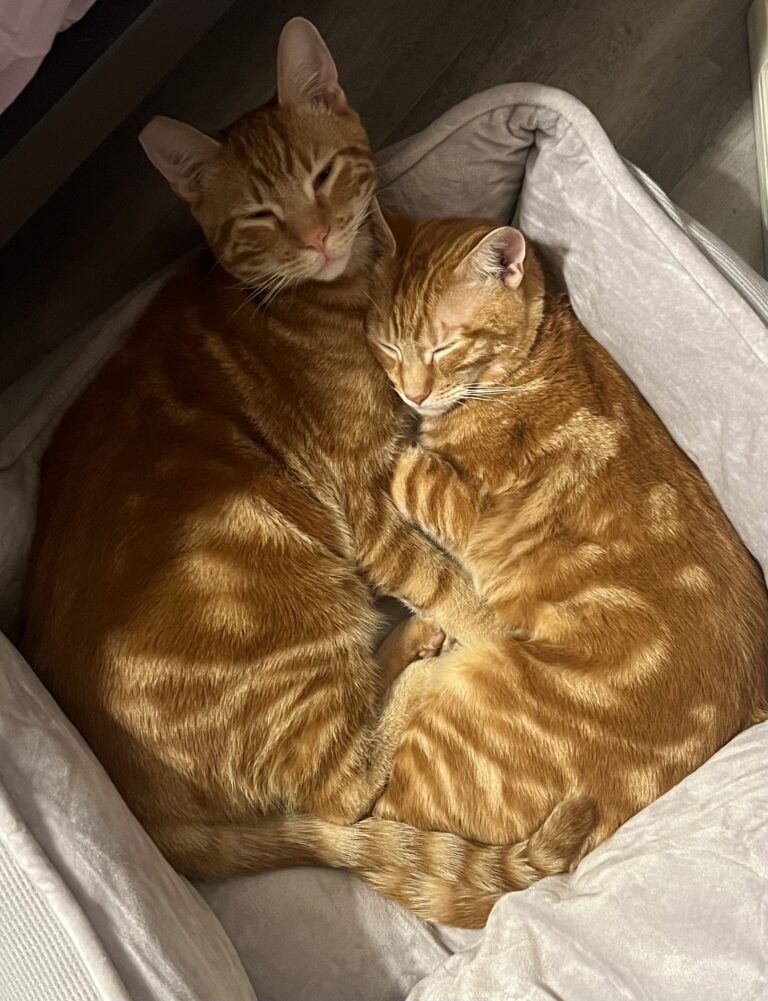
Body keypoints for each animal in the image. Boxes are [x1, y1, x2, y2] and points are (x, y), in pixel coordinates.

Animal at [22, 15, 588, 924]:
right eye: (259, 214)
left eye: (322, 177)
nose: (319, 237)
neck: (332, 295)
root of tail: (155, 823)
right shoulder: (365, 501)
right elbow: (449, 584)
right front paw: (495, 638)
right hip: (296, 595)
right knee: (345, 788)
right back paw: (420, 660)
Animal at [368, 217, 768, 920]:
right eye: (389, 344)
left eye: (445, 346)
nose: (411, 392)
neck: (533, 359)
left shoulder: (465, 510)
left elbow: (409, 468)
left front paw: (396, 448)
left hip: (471, 692)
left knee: (359, 796)